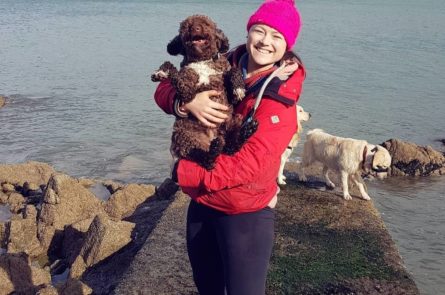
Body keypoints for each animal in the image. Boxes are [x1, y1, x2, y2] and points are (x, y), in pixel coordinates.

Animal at [152, 14, 256, 171]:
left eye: (206, 24)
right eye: (186, 25)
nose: (194, 28)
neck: (203, 60)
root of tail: (211, 138)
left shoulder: (226, 82)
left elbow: (234, 71)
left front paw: (238, 88)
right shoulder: (188, 91)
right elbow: (178, 76)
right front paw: (162, 71)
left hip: (234, 120)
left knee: (231, 148)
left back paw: (246, 131)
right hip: (184, 134)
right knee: (207, 159)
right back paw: (214, 148)